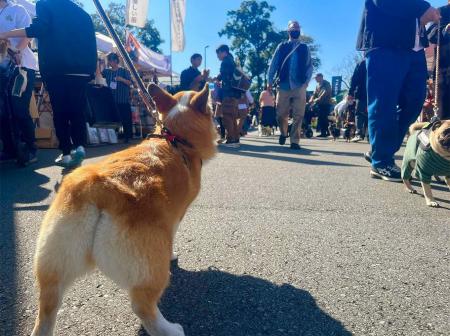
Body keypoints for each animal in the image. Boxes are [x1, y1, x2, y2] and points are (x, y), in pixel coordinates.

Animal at [30, 82, 217, 334]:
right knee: (142, 306)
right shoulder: (175, 217)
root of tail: (97, 189)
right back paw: (170, 329)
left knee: (47, 307)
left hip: (54, 263)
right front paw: (173, 255)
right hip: (149, 267)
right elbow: (173, 236)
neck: (175, 138)